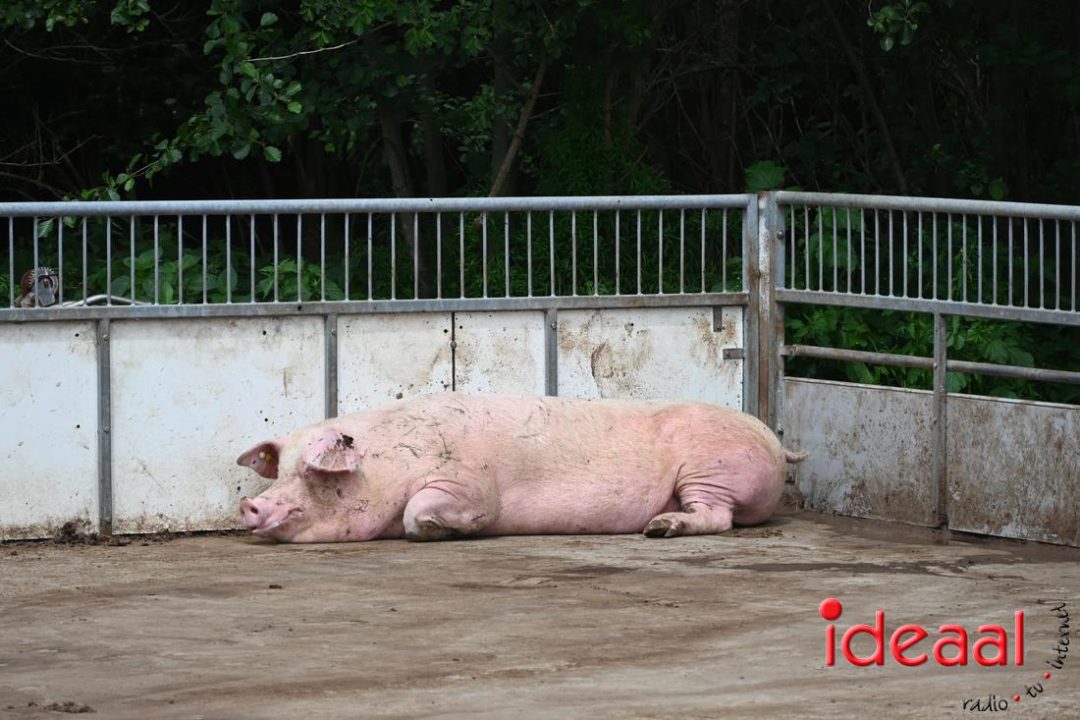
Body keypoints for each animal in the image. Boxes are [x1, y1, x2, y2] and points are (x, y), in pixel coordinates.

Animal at [237, 393, 806, 543]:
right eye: (281, 471)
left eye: (313, 474)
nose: (250, 505)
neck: (389, 463)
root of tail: (777, 444)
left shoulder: (468, 482)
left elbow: (426, 510)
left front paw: (442, 528)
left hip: (712, 469)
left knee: (720, 517)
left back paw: (660, 529)